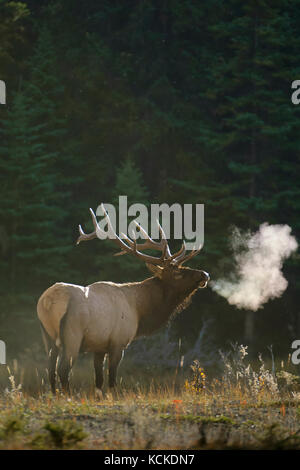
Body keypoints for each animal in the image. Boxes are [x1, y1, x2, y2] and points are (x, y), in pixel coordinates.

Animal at [37, 206, 210, 392]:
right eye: (178, 273)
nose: (205, 274)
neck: (140, 310)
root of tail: (47, 302)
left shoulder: (99, 347)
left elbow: (98, 381)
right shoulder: (118, 342)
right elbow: (112, 380)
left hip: (48, 337)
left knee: (50, 370)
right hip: (72, 335)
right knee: (63, 370)